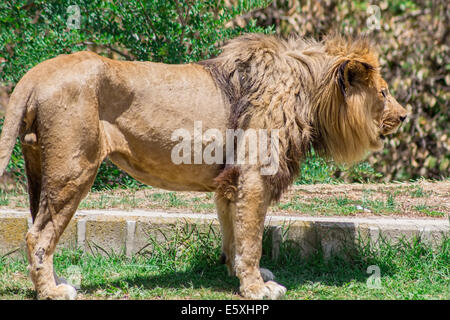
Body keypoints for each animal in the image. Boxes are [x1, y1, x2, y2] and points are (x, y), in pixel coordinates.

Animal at [0, 33, 408, 300]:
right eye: (384, 92)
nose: (404, 115)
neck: (310, 92)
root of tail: (35, 74)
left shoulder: (231, 182)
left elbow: (234, 235)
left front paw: (239, 275)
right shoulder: (254, 176)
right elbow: (252, 239)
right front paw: (257, 288)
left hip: (40, 168)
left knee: (38, 227)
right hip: (75, 169)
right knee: (38, 235)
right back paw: (54, 291)